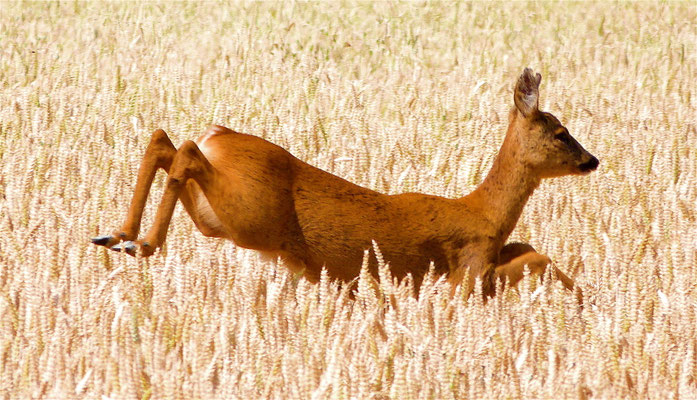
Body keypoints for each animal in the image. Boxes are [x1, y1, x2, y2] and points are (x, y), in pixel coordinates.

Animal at [92, 68, 598, 301]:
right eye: (560, 132)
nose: (592, 160)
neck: (484, 213)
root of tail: (222, 136)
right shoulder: (468, 273)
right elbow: (538, 258)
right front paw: (585, 302)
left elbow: (531, 250)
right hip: (247, 213)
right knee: (184, 151)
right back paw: (140, 243)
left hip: (218, 217)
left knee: (164, 141)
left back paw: (118, 236)